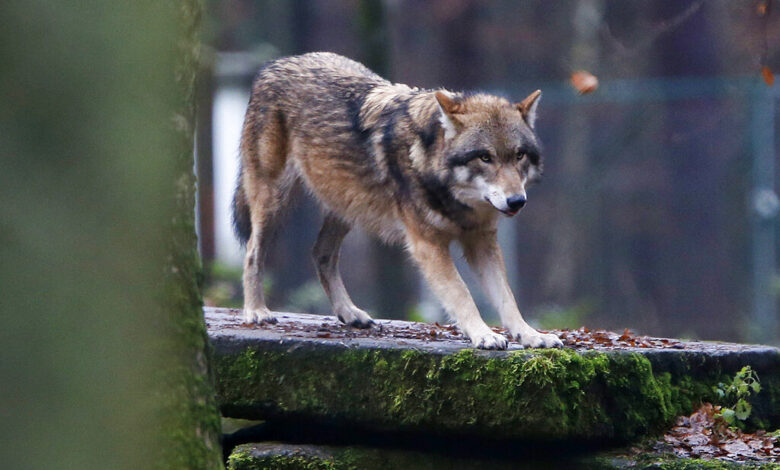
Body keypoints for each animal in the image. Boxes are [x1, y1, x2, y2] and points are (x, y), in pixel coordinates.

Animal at [232, 53, 560, 350]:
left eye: (519, 155)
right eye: (485, 157)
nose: (517, 201)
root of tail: (275, 64)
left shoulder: (482, 242)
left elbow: (507, 298)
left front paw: (531, 335)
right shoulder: (428, 245)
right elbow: (461, 293)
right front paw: (484, 334)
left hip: (347, 206)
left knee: (320, 254)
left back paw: (349, 313)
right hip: (274, 201)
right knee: (252, 253)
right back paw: (256, 311)